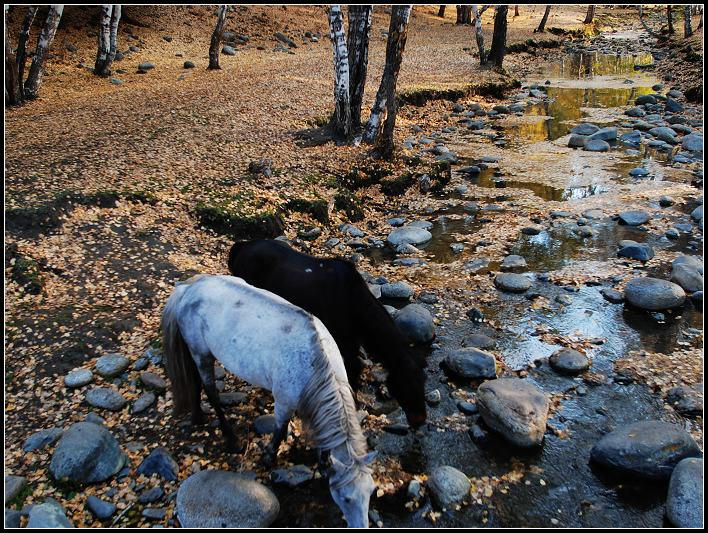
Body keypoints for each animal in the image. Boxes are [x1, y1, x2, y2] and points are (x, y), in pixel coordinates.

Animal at [164, 276, 378, 524]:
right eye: (346, 498)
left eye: (371, 491)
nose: (361, 526)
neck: (313, 363)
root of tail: (188, 289)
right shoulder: (284, 401)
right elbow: (279, 428)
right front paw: (269, 457)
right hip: (201, 352)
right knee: (209, 389)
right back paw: (231, 438)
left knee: (196, 382)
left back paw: (198, 416)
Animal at [228, 239, 426, 426]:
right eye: (405, 382)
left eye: (423, 381)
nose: (420, 420)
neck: (355, 305)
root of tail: (240, 247)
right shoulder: (342, 339)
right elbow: (350, 370)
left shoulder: (351, 341)